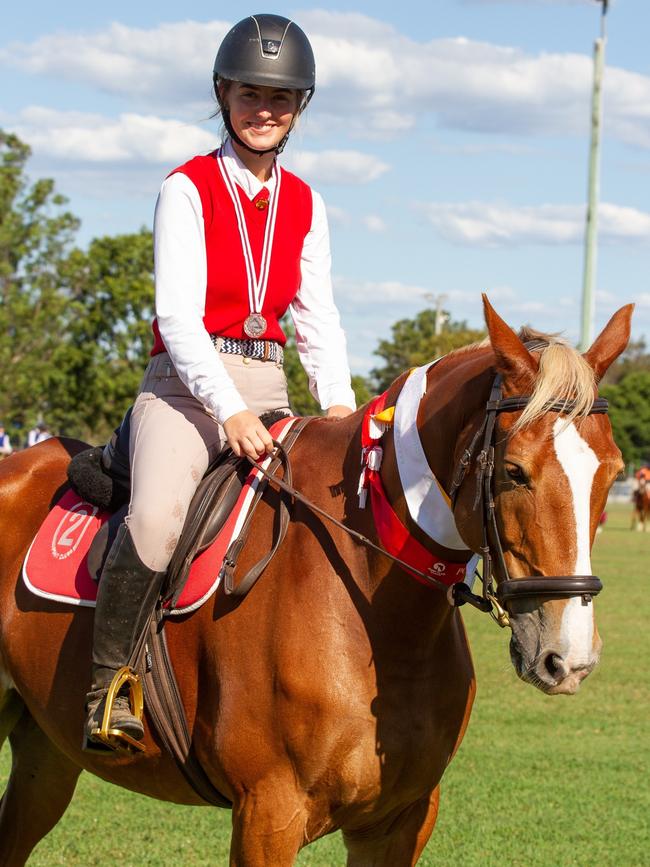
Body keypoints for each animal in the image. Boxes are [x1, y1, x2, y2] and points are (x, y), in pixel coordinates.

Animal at [0, 300, 632, 867]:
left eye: (613, 472)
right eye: (514, 472)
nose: (568, 658)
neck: (381, 618)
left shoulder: (400, 821)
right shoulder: (268, 815)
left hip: (45, 751)